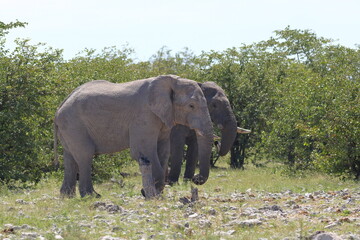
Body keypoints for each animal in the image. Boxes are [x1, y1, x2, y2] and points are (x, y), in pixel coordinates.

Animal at [54, 75, 214, 197]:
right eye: (191, 106)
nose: (196, 178)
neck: (171, 80)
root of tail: (60, 106)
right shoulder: (143, 116)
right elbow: (144, 151)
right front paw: (150, 193)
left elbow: (163, 152)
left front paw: (153, 192)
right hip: (74, 124)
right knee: (85, 156)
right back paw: (91, 196)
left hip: (69, 127)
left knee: (70, 158)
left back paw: (67, 197)